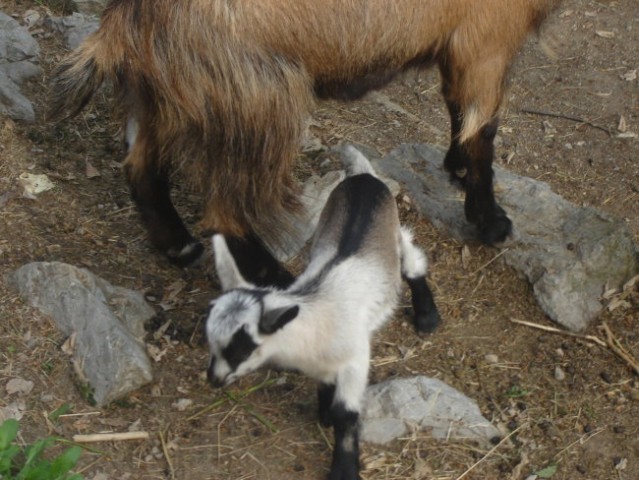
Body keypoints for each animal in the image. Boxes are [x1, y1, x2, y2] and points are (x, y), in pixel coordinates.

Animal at [206, 147, 440, 480]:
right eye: (210, 341)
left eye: (242, 348)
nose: (214, 379)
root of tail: (364, 177)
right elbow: (326, 383)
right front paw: (325, 412)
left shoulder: (356, 359)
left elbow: (347, 412)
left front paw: (344, 468)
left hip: (393, 230)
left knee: (412, 260)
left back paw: (427, 317)